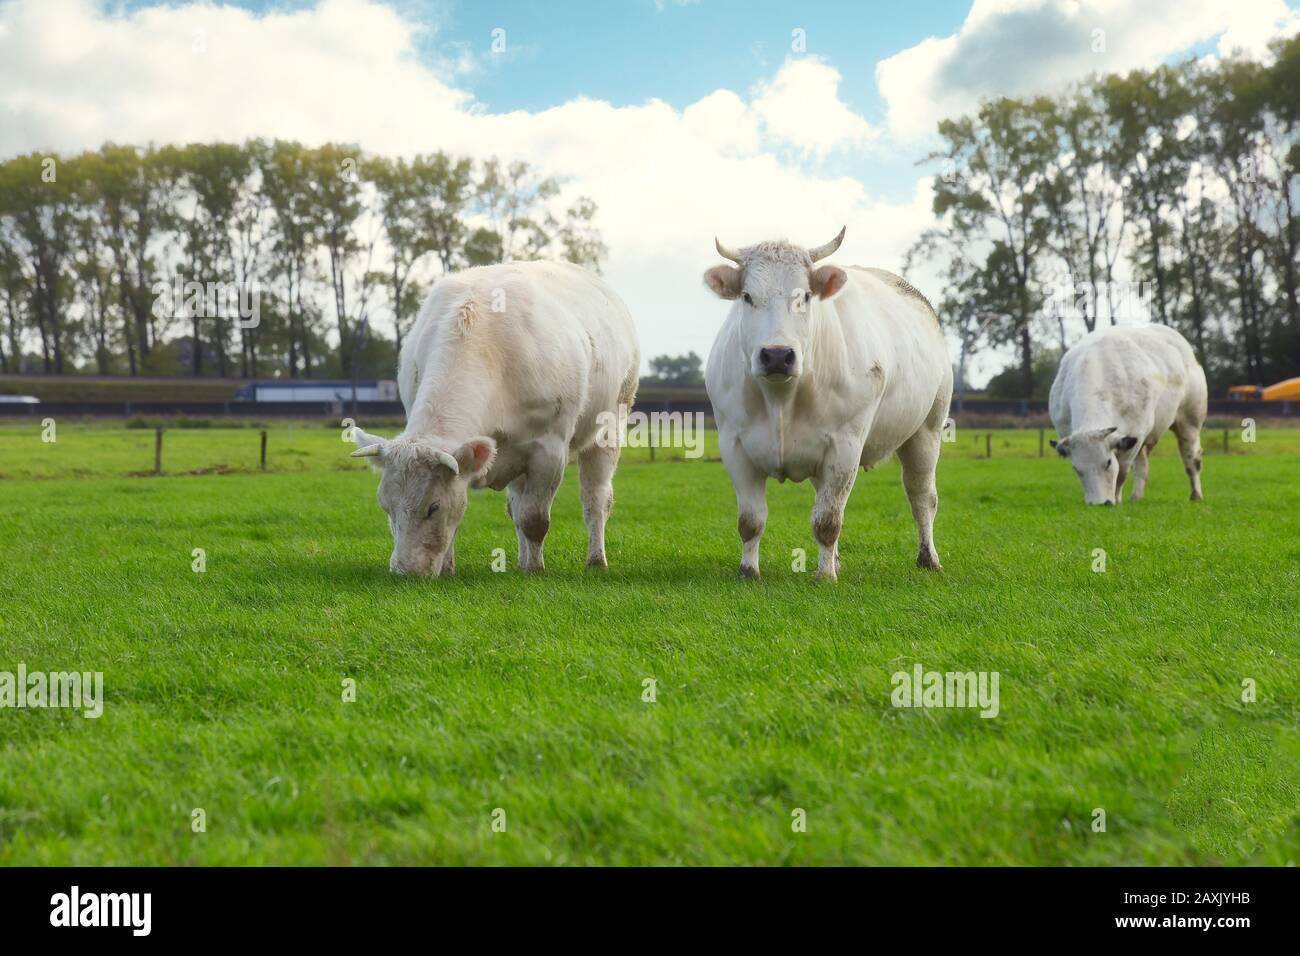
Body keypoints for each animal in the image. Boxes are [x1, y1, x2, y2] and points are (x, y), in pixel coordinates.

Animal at [349, 260, 640, 576]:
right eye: (385, 506)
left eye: (433, 507)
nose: (405, 572)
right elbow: (478, 518)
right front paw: (449, 569)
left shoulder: (549, 451)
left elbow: (534, 519)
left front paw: (535, 570)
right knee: (517, 505)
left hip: (609, 429)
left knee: (595, 500)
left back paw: (595, 560)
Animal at [702, 227, 953, 581]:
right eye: (747, 297)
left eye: (806, 296)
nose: (777, 355)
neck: (782, 398)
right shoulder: (734, 445)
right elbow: (751, 520)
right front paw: (749, 571)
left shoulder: (845, 446)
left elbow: (827, 520)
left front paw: (824, 576)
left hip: (927, 430)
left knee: (922, 496)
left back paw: (928, 558)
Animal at [1049, 324, 1207, 505]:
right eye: (1076, 469)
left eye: (1108, 463)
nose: (1100, 504)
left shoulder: (1135, 435)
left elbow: (1122, 473)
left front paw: (1117, 499)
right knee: (1143, 466)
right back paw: (1136, 497)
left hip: (1190, 421)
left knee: (1192, 460)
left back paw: (1196, 495)